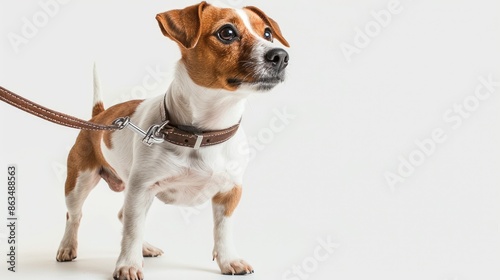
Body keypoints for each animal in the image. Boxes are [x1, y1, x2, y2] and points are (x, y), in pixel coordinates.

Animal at [53, 2, 290, 280]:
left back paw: (145, 248)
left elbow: (223, 231)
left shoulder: (229, 192)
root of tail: (98, 115)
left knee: (123, 215)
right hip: (79, 182)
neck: (201, 133)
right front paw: (127, 264)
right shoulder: (141, 189)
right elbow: (131, 232)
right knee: (75, 216)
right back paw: (67, 247)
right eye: (227, 33)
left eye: (267, 34)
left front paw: (229, 260)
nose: (281, 56)